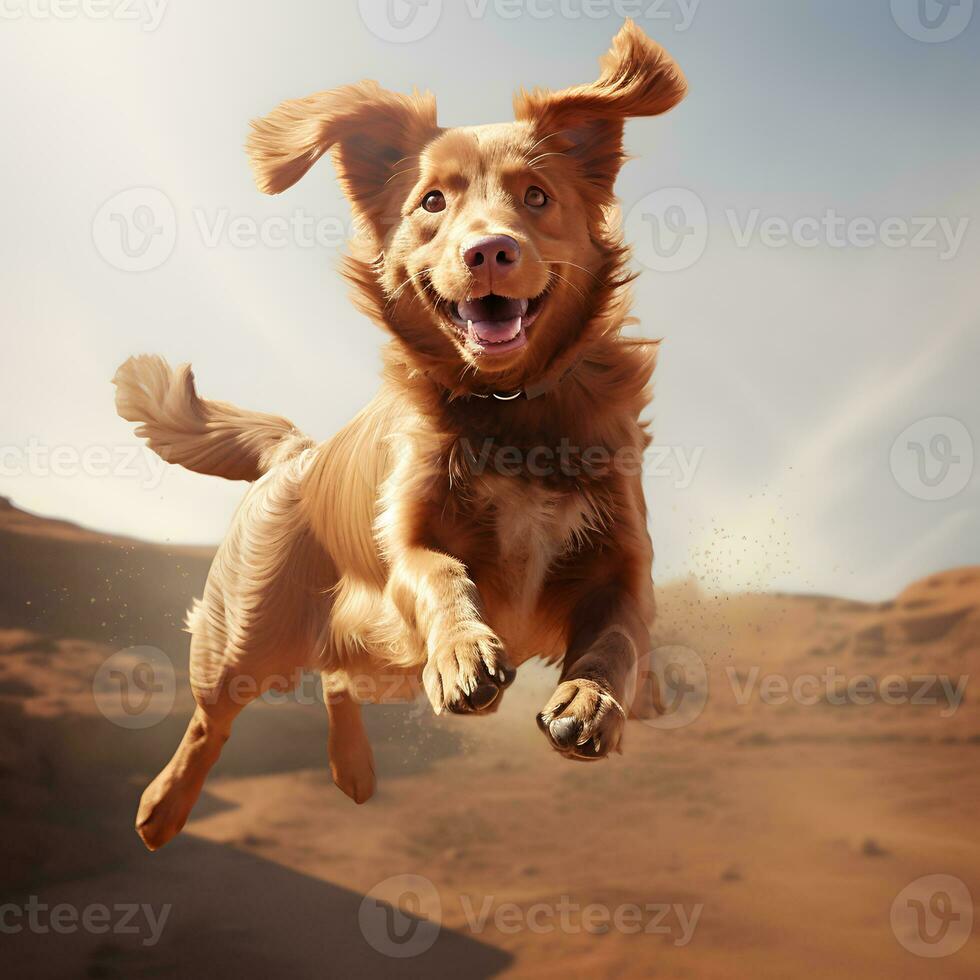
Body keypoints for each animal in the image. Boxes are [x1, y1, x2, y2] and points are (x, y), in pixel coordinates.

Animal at [115, 21, 684, 848]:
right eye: (432, 201)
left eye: (537, 196)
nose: (489, 251)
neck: (508, 403)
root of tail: (300, 454)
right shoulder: (408, 540)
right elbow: (439, 573)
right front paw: (465, 652)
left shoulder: (623, 563)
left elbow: (619, 638)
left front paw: (594, 701)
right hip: (247, 638)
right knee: (211, 718)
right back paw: (163, 808)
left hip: (378, 661)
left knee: (337, 678)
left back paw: (354, 768)